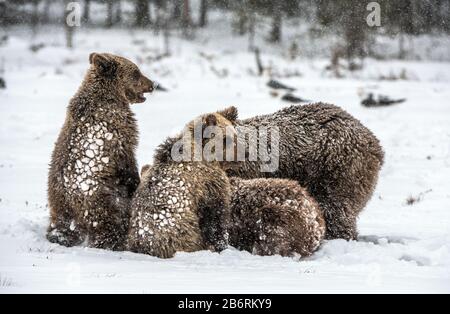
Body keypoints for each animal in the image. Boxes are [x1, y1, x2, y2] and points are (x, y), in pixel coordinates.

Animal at [46, 53, 154, 250]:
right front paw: (136, 179)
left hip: (57, 203)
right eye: (136, 72)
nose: (152, 84)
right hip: (101, 200)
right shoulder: (117, 133)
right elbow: (127, 161)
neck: (111, 96)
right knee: (111, 221)